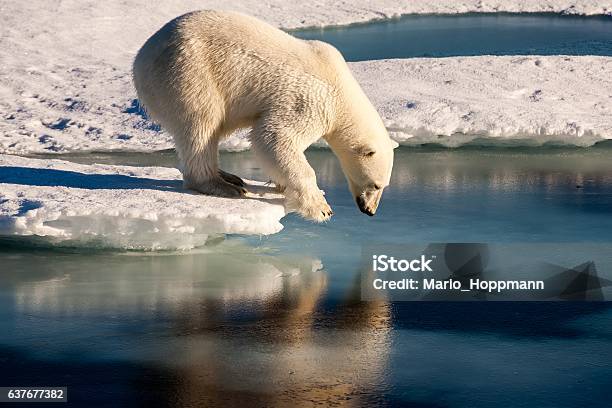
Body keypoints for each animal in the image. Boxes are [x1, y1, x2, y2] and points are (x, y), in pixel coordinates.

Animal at [133, 10, 396, 220]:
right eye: (375, 184)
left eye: (384, 185)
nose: (370, 211)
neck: (341, 88)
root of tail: (142, 57)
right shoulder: (310, 99)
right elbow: (273, 136)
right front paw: (321, 208)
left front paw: (280, 183)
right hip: (188, 73)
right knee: (201, 124)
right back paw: (223, 185)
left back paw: (230, 177)